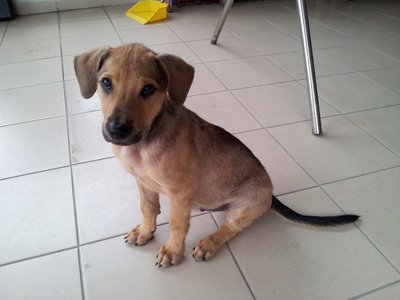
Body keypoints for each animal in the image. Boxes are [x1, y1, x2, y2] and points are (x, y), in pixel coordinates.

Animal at [75, 41, 360, 268]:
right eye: (106, 83)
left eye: (147, 90)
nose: (117, 130)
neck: (143, 144)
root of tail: (271, 194)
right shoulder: (143, 183)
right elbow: (148, 208)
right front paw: (145, 231)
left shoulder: (180, 194)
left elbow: (178, 224)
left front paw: (171, 251)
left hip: (245, 205)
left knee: (231, 228)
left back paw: (209, 243)